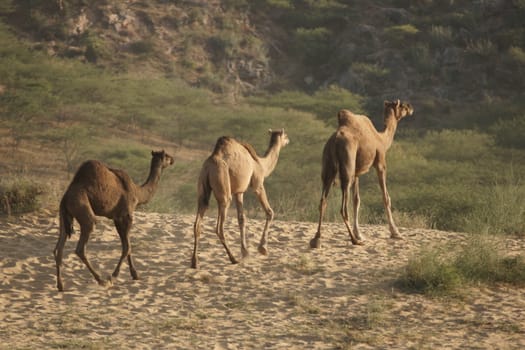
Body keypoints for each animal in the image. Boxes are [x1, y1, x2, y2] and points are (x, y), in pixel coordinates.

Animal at [54, 150, 174, 290]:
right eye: (167, 156)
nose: (173, 160)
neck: (137, 193)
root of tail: (65, 198)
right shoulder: (126, 215)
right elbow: (127, 247)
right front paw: (113, 275)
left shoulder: (117, 217)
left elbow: (127, 246)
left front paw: (135, 275)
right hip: (82, 207)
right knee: (81, 245)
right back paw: (101, 280)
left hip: (64, 214)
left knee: (59, 247)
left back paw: (60, 285)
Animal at [191, 129, 290, 268]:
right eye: (285, 135)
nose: (288, 140)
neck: (260, 164)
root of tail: (209, 165)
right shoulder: (258, 184)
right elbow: (269, 212)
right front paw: (262, 248)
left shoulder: (239, 192)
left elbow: (241, 218)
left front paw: (245, 252)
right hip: (223, 185)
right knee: (219, 227)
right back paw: (233, 259)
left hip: (202, 185)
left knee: (198, 222)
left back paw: (195, 262)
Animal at [308, 98, 414, 247]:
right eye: (403, 106)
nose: (411, 108)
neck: (382, 138)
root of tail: (335, 141)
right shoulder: (381, 163)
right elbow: (386, 197)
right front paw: (396, 233)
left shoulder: (357, 172)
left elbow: (356, 200)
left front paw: (360, 233)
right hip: (347, 168)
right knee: (343, 208)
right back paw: (354, 240)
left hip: (328, 167)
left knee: (323, 201)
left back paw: (316, 239)